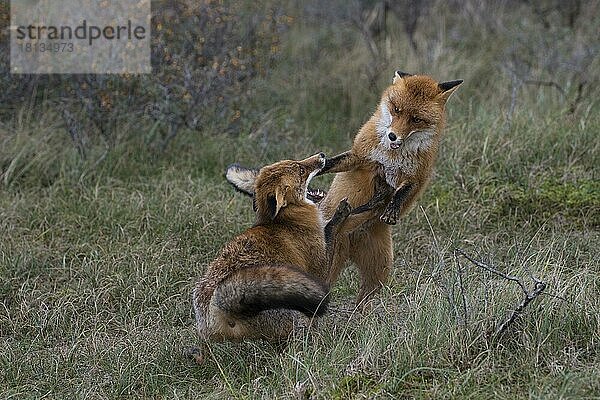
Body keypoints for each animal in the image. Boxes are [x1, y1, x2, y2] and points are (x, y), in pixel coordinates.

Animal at [192, 152, 352, 360]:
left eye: (297, 162)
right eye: (301, 170)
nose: (322, 155)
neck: (287, 220)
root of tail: (217, 311)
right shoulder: (319, 269)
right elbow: (331, 228)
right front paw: (340, 213)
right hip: (292, 314)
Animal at [318, 72, 464, 304]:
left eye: (416, 119)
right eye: (396, 109)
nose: (393, 136)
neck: (392, 156)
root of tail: (350, 241)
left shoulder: (415, 178)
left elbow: (402, 193)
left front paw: (391, 210)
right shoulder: (359, 157)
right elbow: (334, 162)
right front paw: (313, 166)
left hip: (380, 272)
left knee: (363, 301)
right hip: (332, 266)